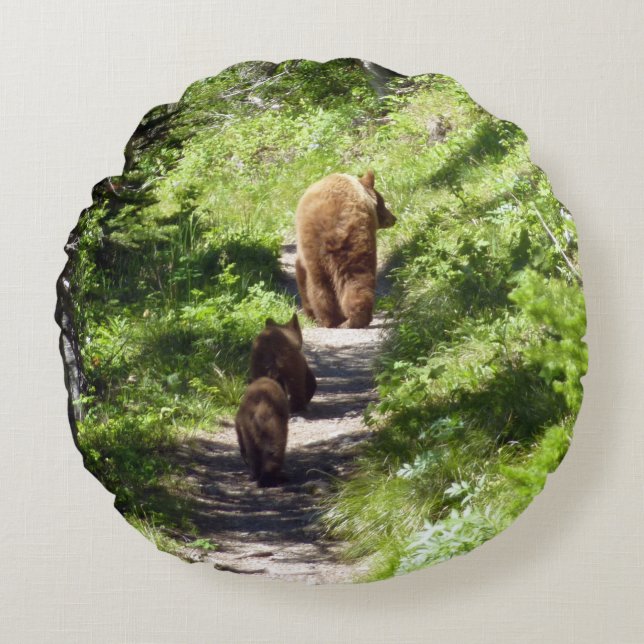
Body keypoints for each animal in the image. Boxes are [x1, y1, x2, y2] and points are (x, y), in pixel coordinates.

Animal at [294, 169, 396, 329]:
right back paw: (349, 319)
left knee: (324, 284)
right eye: (383, 202)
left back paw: (334, 320)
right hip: (351, 242)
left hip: (325, 248)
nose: (393, 218)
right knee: (352, 278)